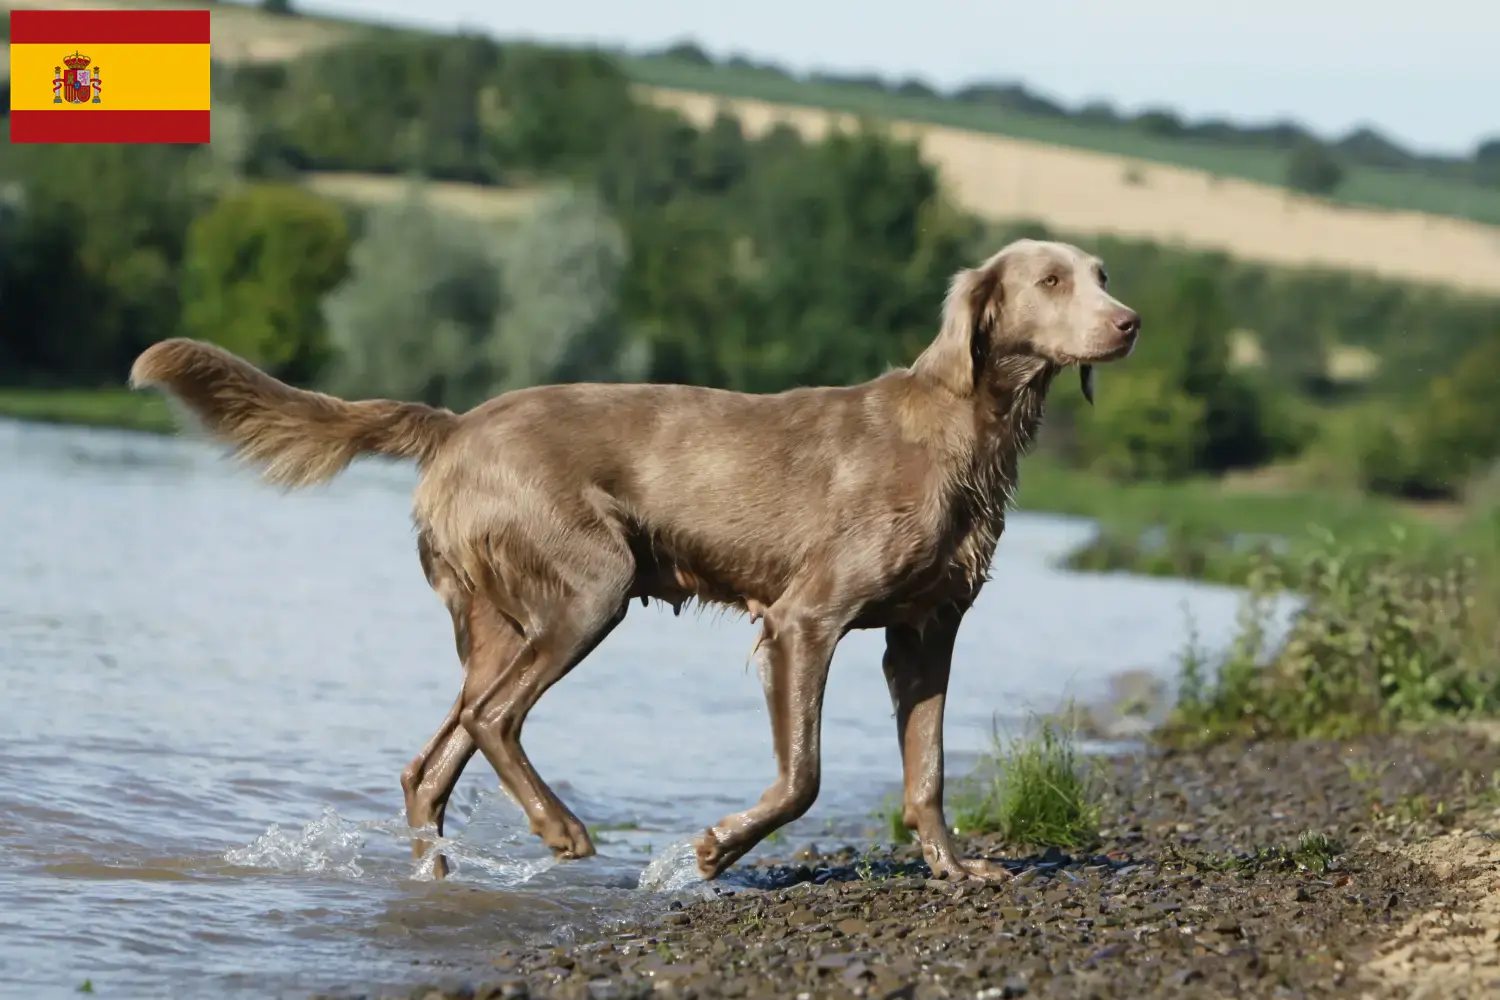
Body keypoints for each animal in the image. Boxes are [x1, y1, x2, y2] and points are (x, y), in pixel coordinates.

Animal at [132, 238, 1134, 887]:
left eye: (1102, 276)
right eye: (1052, 280)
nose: (1128, 323)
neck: (969, 431)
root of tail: (457, 425)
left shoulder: (926, 634)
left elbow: (926, 773)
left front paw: (958, 869)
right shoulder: (805, 618)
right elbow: (803, 775)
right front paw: (715, 848)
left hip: (499, 621)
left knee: (434, 761)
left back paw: (442, 876)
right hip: (590, 589)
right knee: (494, 720)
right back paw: (564, 831)